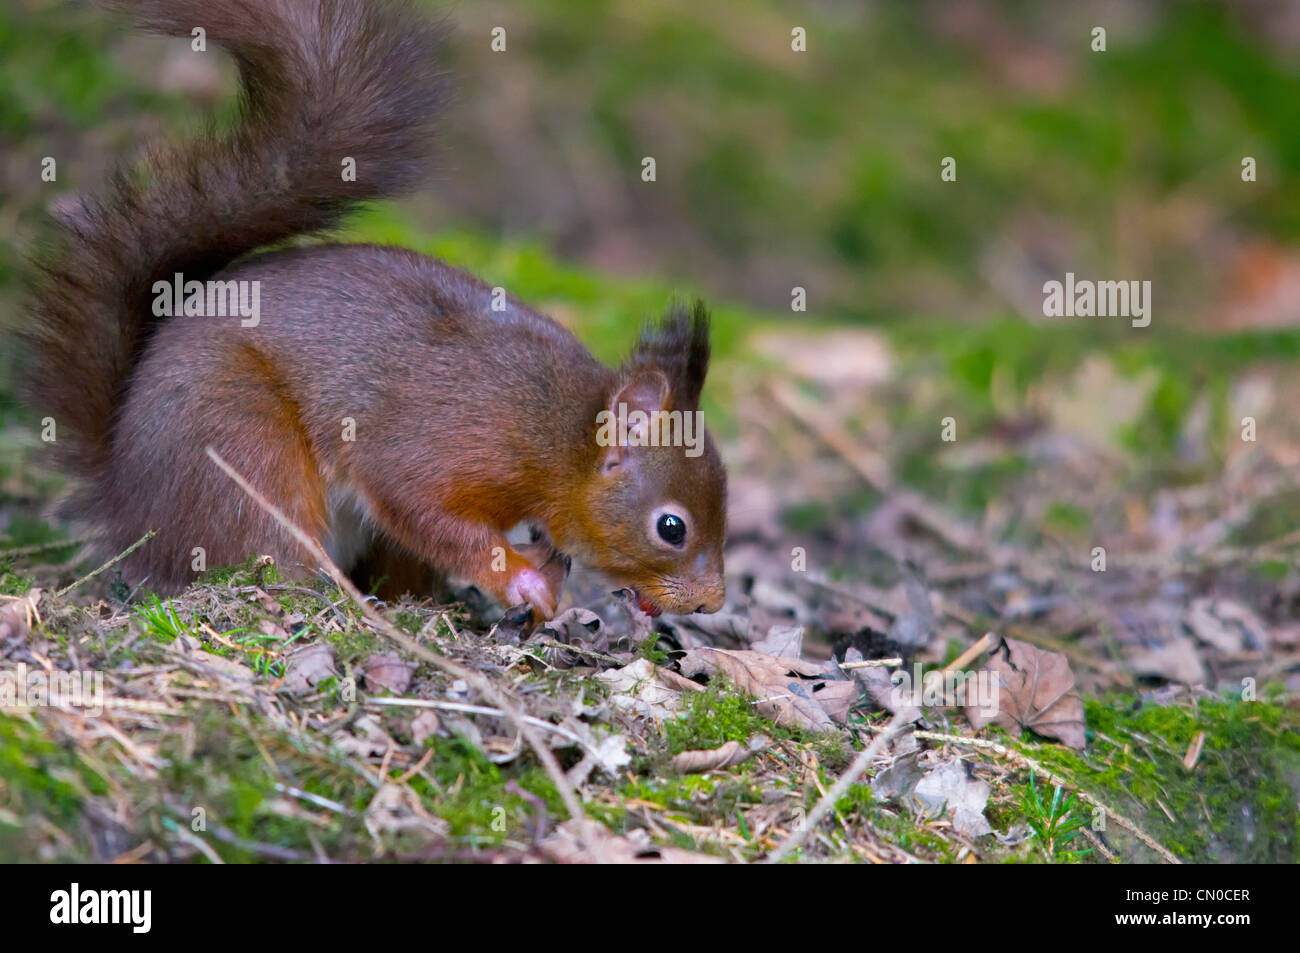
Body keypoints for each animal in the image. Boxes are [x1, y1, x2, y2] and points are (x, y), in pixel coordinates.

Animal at [20, 0, 728, 616]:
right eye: (671, 527)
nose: (711, 604)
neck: (556, 434)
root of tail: (123, 500)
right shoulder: (450, 440)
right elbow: (420, 506)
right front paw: (521, 579)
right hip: (238, 443)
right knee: (266, 548)